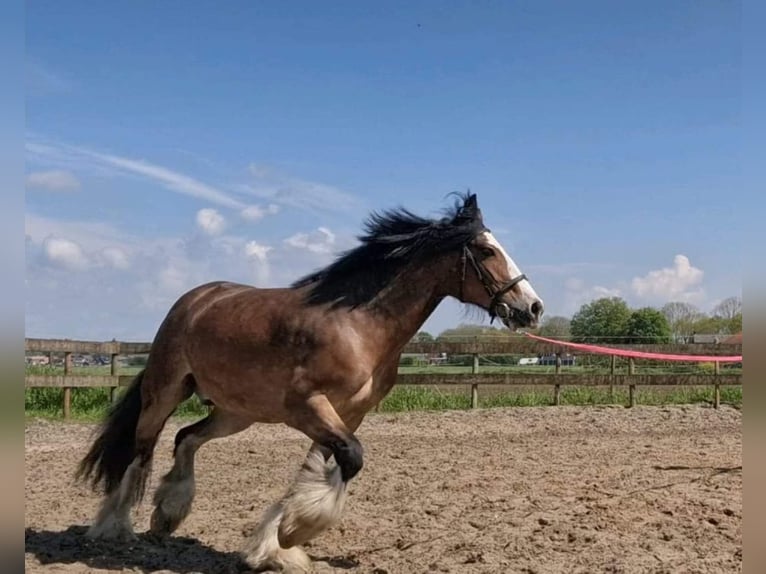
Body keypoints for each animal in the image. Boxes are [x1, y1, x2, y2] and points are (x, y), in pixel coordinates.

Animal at [76, 192, 544, 572]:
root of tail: (194, 299)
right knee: (141, 451)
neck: (357, 325)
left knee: (185, 439)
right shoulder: (308, 406)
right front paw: (294, 533)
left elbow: (313, 471)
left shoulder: (348, 413)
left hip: (236, 412)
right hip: (166, 392)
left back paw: (168, 513)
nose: (532, 307)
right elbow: (350, 459)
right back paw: (115, 528)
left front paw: (271, 549)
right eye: (485, 250)